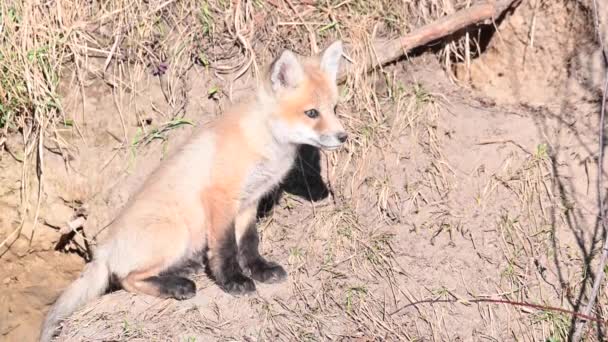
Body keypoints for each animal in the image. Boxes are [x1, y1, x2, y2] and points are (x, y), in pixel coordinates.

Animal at [40, 40, 346, 342]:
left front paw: (260, 270)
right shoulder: (221, 198)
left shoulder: (250, 202)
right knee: (124, 278)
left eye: (333, 109)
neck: (263, 142)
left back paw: (184, 269)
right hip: (176, 233)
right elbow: (225, 248)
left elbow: (249, 244)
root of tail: (105, 248)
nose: (344, 136)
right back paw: (177, 286)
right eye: (312, 113)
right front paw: (233, 281)